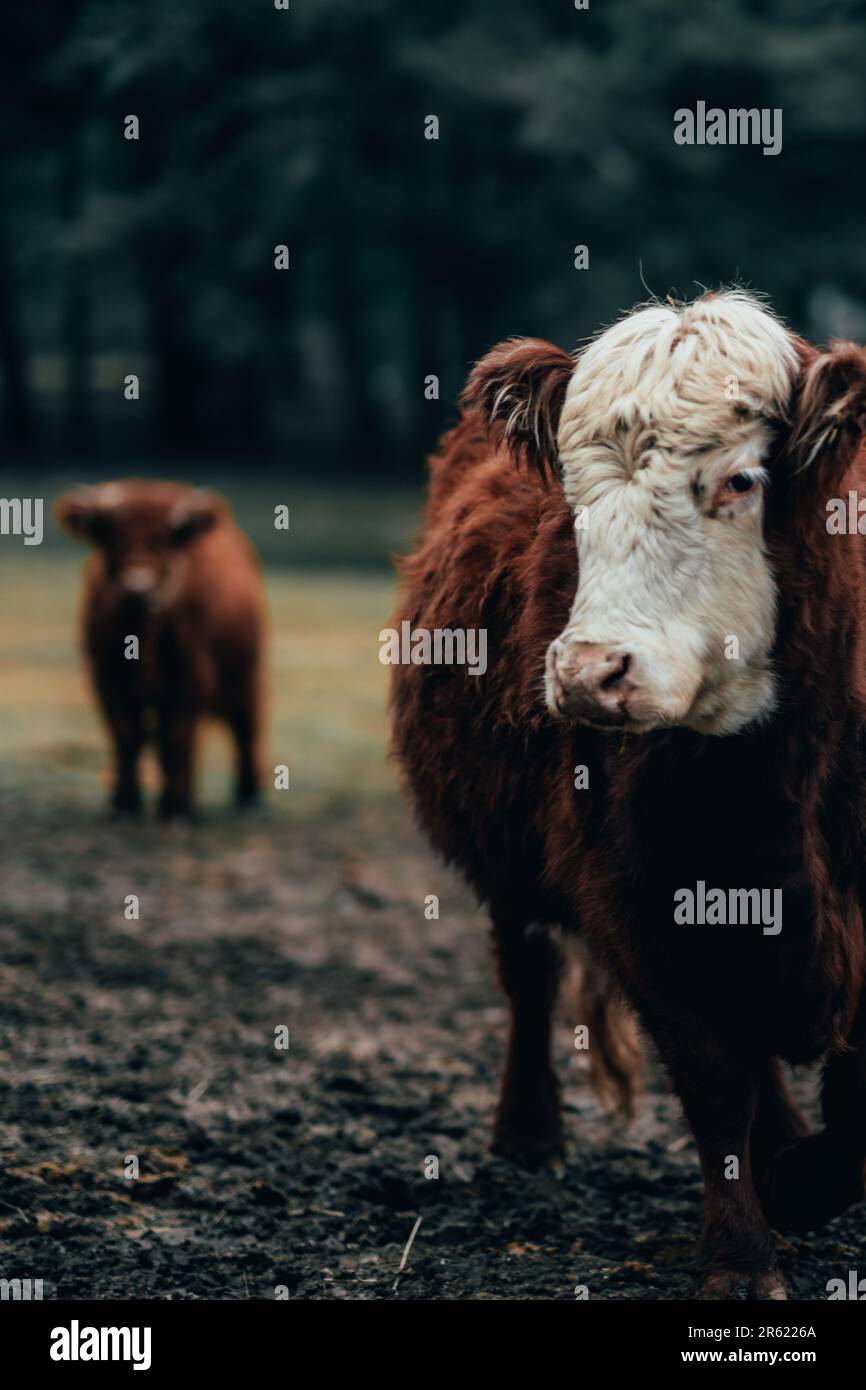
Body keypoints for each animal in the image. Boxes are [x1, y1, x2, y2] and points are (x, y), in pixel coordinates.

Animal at [55, 480, 265, 818]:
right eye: (114, 537)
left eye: (165, 541)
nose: (138, 588)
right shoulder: (106, 680)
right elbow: (127, 738)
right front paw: (125, 802)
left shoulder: (191, 681)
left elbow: (176, 740)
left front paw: (175, 806)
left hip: (249, 675)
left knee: (245, 727)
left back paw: (248, 794)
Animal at [389, 290, 866, 1299]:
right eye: (570, 498)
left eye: (739, 481)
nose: (587, 672)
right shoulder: (636, 896)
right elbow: (714, 1080)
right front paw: (744, 1253)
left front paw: (798, 1177)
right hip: (509, 867)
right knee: (528, 971)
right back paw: (528, 1134)